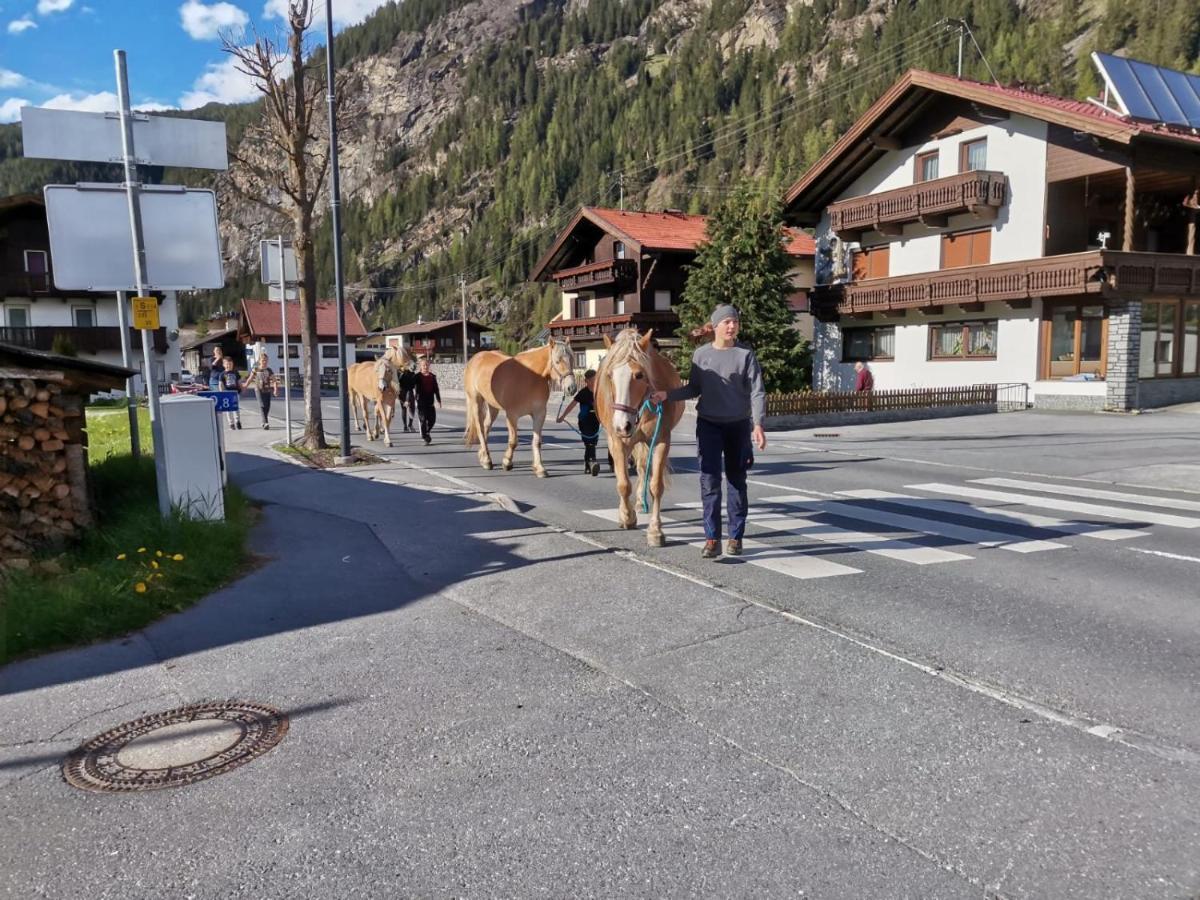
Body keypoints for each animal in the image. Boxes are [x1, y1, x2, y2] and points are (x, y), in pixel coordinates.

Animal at [463, 338, 576, 480]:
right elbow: (513, 441)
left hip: (492, 406)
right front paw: (507, 462)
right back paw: (487, 461)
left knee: (486, 426)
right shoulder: (512, 415)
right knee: (480, 428)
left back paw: (483, 456)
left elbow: (537, 441)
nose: (571, 388)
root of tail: (475, 358)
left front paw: (539, 468)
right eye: (557, 361)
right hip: (475, 401)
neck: (530, 376)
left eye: (572, 359)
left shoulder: (539, 414)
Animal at [592, 328, 681, 547]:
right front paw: (627, 517)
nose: (622, 425)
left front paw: (655, 531)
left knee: (642, 468)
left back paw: (641, 502)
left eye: (639, 375)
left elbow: (656, 485)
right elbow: (623, 484)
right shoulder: (617, 442)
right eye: (610, 375)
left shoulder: (661, 441)